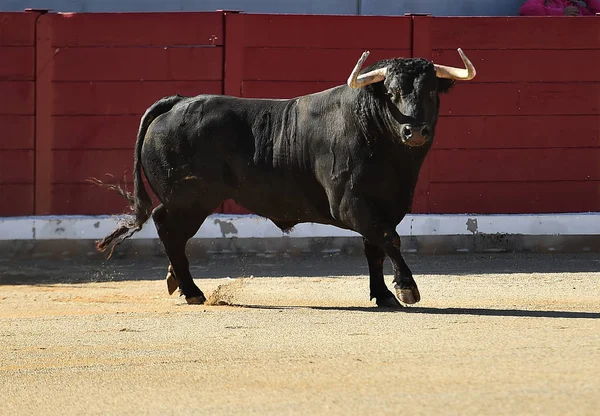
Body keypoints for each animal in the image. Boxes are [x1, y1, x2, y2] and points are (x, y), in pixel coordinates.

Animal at [94, 49, 476, 308]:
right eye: (392, 92)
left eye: (431, 92)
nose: (415, 131)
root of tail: (178, 102)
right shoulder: (349, 202)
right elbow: (388, 239)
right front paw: (407, 288)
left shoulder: (388, 204)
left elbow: (376, 247)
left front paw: (383, 295)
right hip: (189, 199)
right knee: (168, 227)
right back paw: (192, 291)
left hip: (191, 201)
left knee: (173, 232)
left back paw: (176, 280)